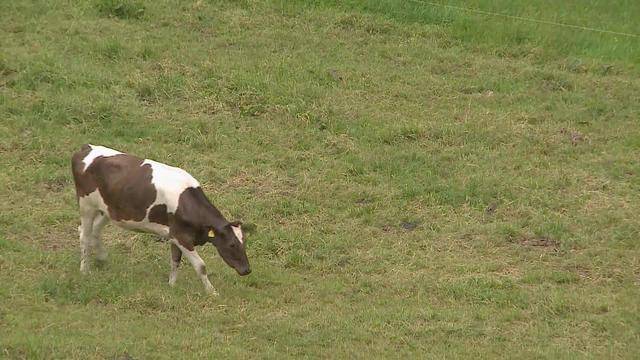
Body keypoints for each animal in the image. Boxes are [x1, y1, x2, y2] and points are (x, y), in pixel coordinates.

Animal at [70, 144, 250, 296]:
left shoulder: (175, 235)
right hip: (86, 205)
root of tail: (86, 147)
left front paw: (171, 285)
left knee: (94, 231)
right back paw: (85, 270)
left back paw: (102, 259)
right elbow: (201, 266)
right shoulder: (181, 237)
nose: (247, 270)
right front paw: (212, 292)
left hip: (108, 210)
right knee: (85, 235)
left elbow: (175, 261)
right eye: (232, 244)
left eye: (244, 242)